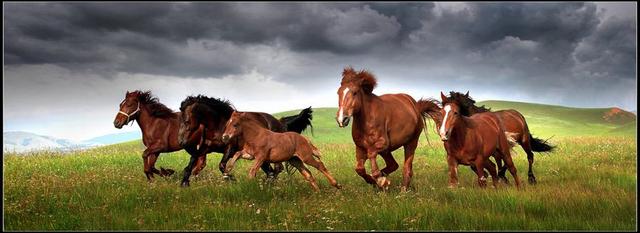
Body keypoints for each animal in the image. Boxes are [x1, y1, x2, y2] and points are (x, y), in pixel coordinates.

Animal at [178, 93, 312, 187]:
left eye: (186, 121)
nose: (182, 142)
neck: (219, 125)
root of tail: (279, 122)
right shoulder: (205, 148)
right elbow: (191, 161)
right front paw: (184, 183)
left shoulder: (230, 148)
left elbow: (222, 165)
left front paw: (231, 178)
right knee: (271, 171)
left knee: (277, 169)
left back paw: (267, 184)